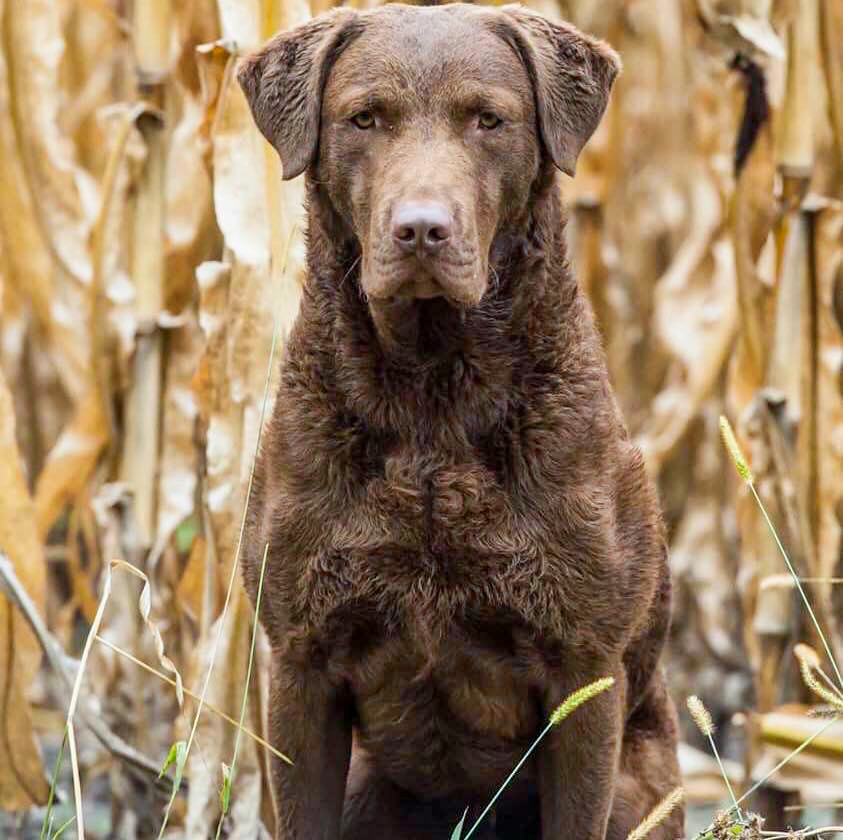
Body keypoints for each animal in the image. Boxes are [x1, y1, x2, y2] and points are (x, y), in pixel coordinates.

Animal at [237, 3, 684, 836]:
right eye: (364, 118)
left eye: (487, 119)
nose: (421, 230)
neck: (430, 403)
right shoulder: (300, 660)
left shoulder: (585, 669)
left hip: (640, 780)